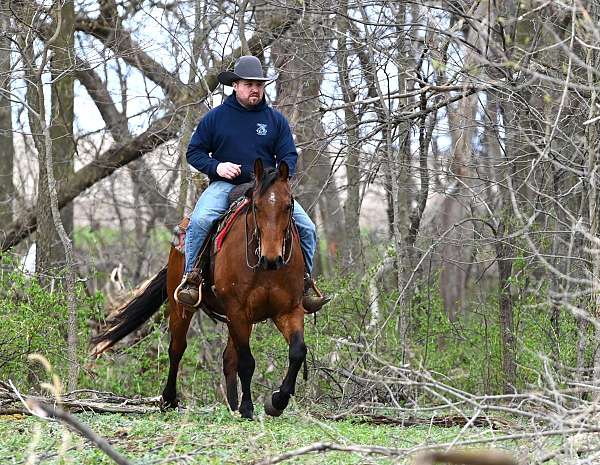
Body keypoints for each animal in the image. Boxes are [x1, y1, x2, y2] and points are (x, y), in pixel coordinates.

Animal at [91, 160, 308, 416]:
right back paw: (169, 399)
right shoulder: (237, 310)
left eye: (288, 205)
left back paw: (231, 405)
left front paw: (276, 402)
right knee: (177, 348)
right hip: (181, 307)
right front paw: (247, 408)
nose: (272, 258)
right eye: (256, 206)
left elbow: (297, 351)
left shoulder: (288, 309)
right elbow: (247, 361)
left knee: (228, 358)